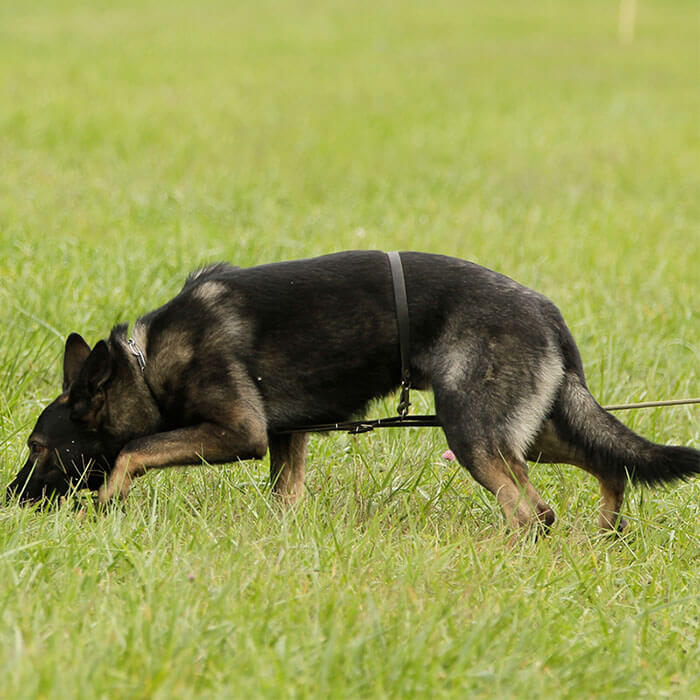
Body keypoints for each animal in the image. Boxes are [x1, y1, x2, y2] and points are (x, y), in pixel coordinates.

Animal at [6, 252, 700, 532]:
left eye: (39, 448)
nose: (9, 499)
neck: (145, 363)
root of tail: (546, 311)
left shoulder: (239, 433)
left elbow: (131, 451)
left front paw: (108, 504)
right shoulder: (287, 436)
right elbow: (285, 497)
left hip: (471, 431)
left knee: (532, 511)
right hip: (531, 429)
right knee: (603, 467)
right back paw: (603, 532)